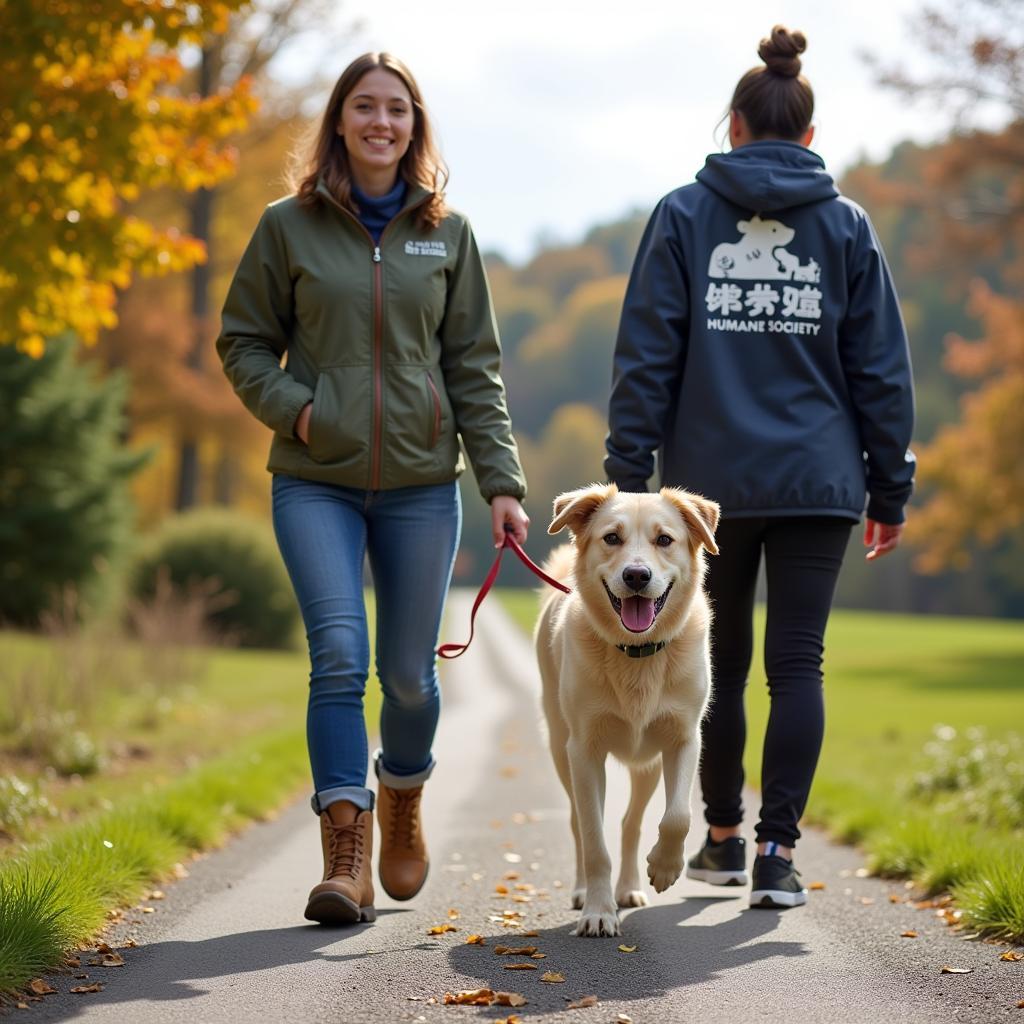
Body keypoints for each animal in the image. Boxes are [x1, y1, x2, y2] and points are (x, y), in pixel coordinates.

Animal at [536, 479, 720, 937]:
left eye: (665, 540)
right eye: (612, 538)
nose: (637, 575)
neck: (637, 653)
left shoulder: (683, 738)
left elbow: (678, 816)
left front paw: (665, 868)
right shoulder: (584, 750)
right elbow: (593, 839)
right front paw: (598, 912)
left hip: (647, 764)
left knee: (631, 823)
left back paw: (631, 887)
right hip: (560, 748)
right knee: (580, 824)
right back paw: (585, 891)